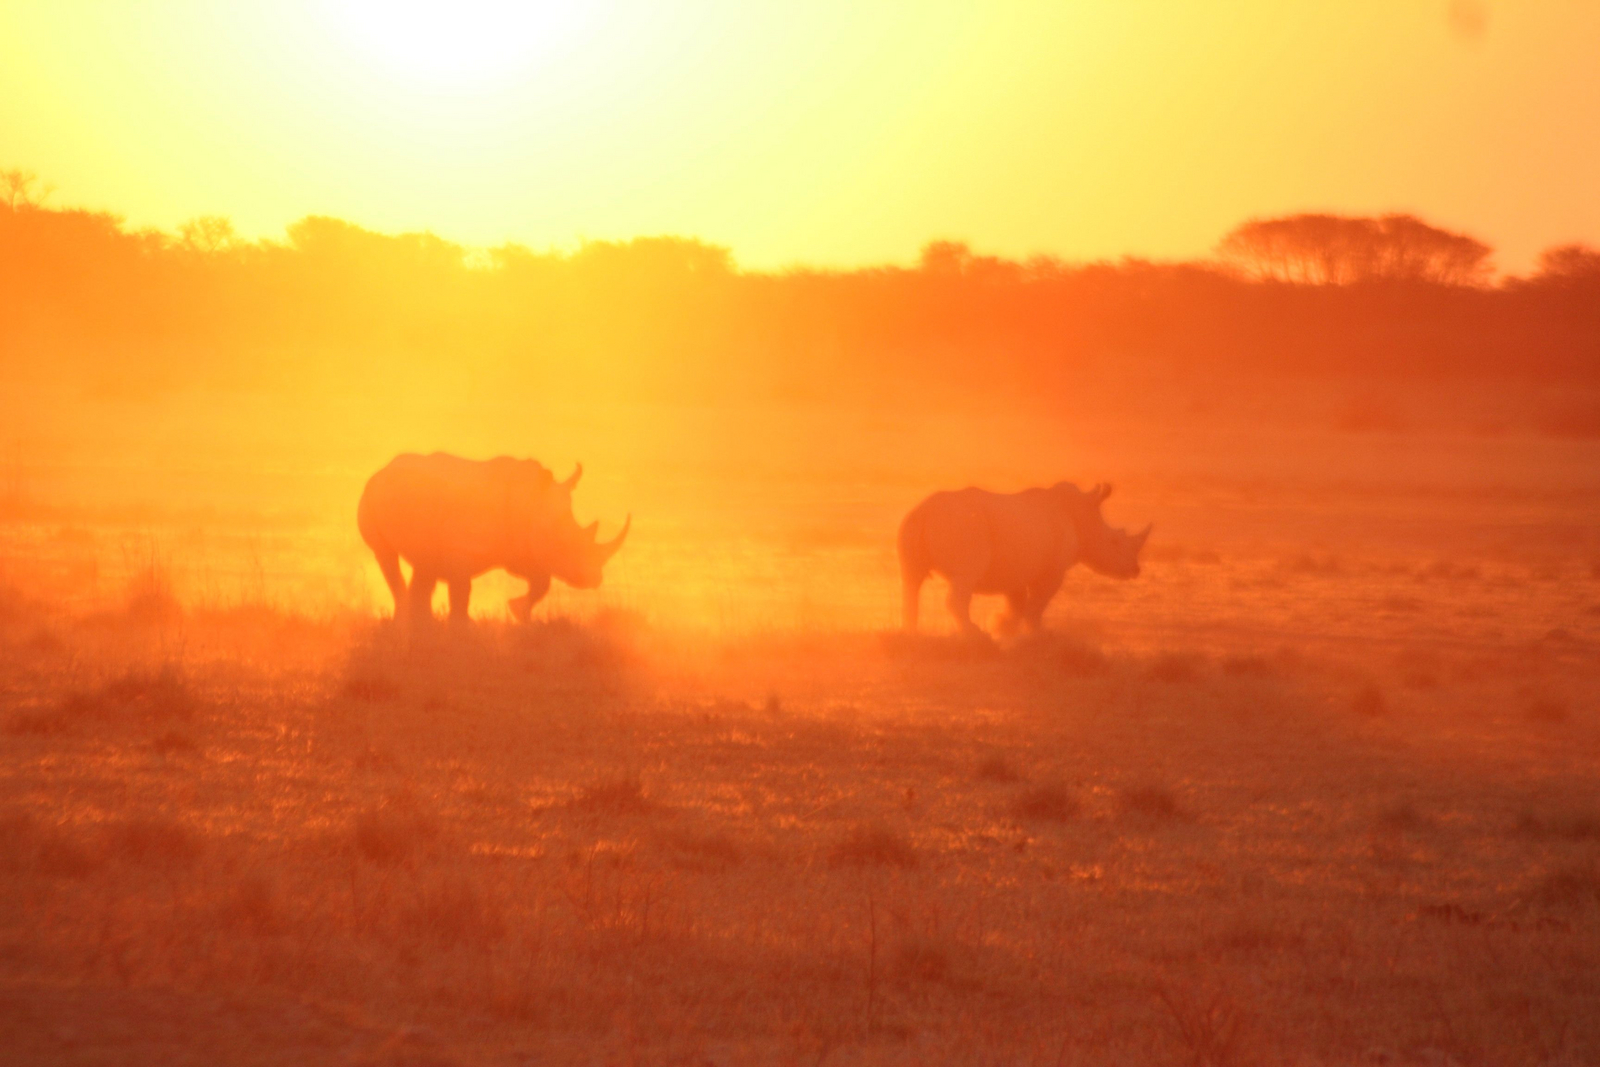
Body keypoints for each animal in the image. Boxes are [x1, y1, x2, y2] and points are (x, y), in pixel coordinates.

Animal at [357, 452, 629, 625]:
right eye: (565, 544)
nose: (595, 579)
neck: (535, 506)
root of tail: (381, 471)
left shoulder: (521, 545)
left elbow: (542, 582)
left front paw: (519, 612)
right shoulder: (463, 549)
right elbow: (462, 591)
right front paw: (462, 627)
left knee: (424, 564)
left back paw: (421, 623)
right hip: (370, 496)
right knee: (386, 556)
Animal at [898, 482, 1149, 636]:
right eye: (1114, 541)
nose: (1135, 570)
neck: (1084, 517)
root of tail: (925, 511)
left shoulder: (1015, 567)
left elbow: (1017, 603)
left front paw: (1005, 628)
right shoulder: (1053, 570)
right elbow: (1037, 604)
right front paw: (1037, 634)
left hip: (911, 523)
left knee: (912, 579)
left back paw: (912, 634)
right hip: (964, 527)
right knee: (964, 580)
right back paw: (975, 635)